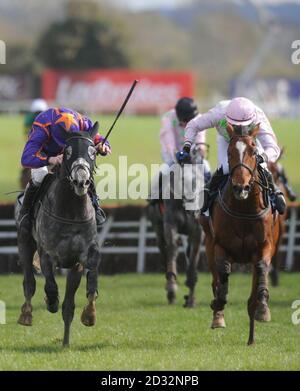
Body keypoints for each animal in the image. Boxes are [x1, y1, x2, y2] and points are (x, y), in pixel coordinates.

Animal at [15, 124, 102, 348]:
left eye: (93, 152)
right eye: (67, 151)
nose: (81, 181)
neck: (71, 211)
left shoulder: (80, 259)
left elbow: (85, 288)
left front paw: (89, 315)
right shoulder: (48, 254)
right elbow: (51, 287)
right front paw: (50, 301)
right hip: (25, 243)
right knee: (29, 283)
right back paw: (26, 314)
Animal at [146, 145, 205, 308]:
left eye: (198, 179)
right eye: (182, 180)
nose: (193, 210)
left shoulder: (197, 232)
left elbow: (193, 260)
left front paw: (191, 299)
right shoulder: (170, 225)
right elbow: (172, 249)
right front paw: (172, 289)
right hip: (157, 227)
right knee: (164, 251)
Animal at [202, 125, 282, 346]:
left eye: (254, 152)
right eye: (229, 152)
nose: (241, 187)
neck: (244, 208)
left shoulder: (265, 246)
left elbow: (261, 271)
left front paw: (263, 309)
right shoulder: (220, 246)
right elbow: (222, 275)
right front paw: (218, 307)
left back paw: (251, 337)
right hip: (208, 245)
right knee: (215, 280)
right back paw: (218, 318)